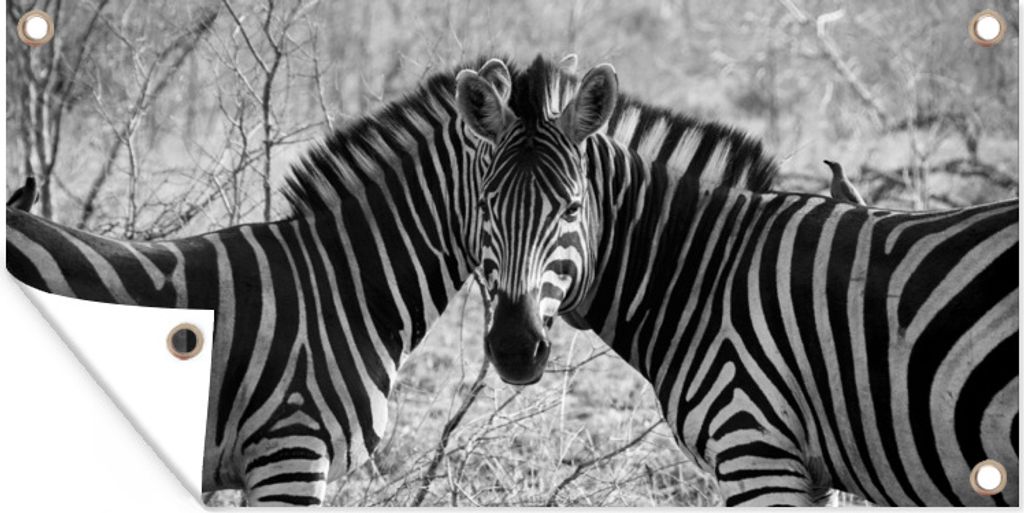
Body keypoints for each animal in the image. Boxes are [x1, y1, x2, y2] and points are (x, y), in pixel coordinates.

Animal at [456, 57, 1019, 506]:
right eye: (483, 207)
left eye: (572, 209)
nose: (513, 348)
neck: (704, 275)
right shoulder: (809, 475)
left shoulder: (756, 451)